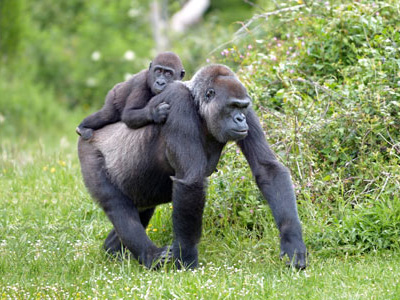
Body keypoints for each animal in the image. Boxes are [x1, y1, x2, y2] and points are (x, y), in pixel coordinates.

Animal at [77, 63, 306, 270]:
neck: (199, 106)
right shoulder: (179, 102)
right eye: (232, 106)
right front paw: (186, 259)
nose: (240, 119)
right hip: (89, 150)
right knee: (117, 206)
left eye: (242, 107)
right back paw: (150, 256)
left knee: (141, 208)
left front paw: (292, 242)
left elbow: (267, 168)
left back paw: (113, 251)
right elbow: (191, 180)